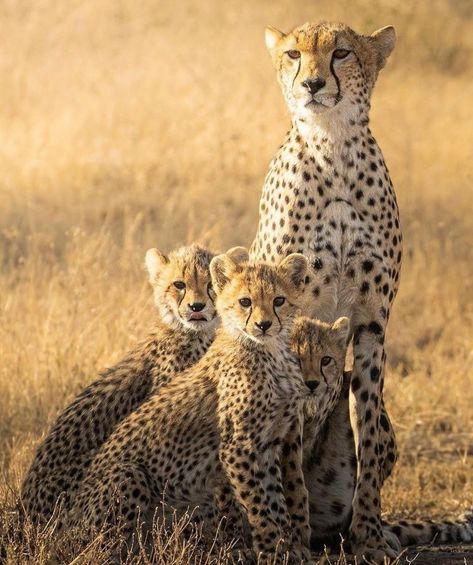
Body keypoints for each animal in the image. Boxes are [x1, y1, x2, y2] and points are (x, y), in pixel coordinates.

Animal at [249, 20, 400, 560]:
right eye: (294, 54)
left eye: (342, 53)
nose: (313, 84)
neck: (333, 147)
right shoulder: (287, 325)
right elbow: (288, 450)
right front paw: (290, 539)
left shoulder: (374, 323)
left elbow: (368, 432)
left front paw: (370, 536)